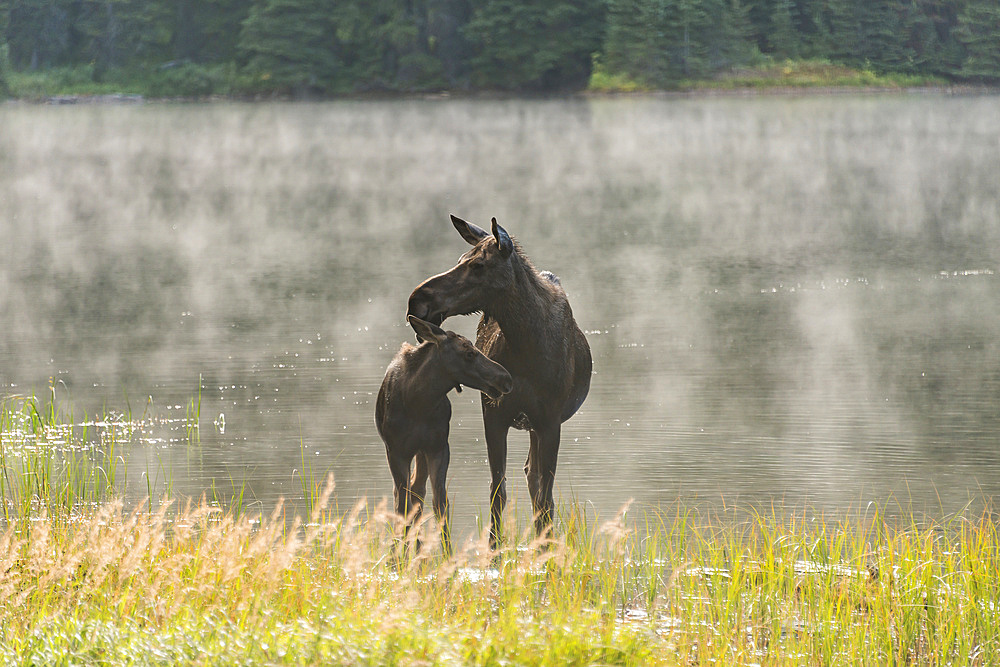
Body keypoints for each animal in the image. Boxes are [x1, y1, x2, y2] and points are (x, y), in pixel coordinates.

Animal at [408, 217, 588, 544]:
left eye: (478, 265)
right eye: (459, 259)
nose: (417, 300)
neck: (527, 346)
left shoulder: (549, 419)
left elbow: (545, 497)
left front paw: (546, 550)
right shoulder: (494, 413)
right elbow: (498, 492)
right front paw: (494, 548)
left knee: (536, 481)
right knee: (530, 474)